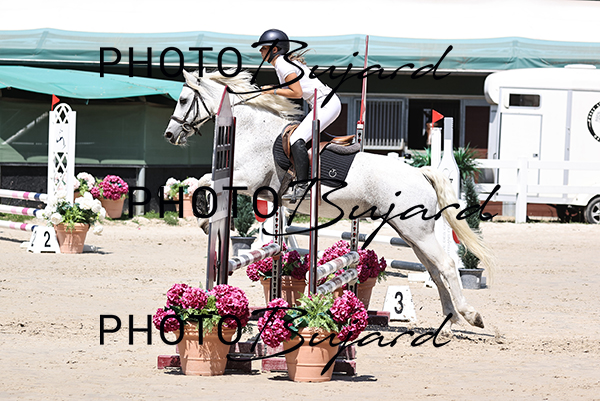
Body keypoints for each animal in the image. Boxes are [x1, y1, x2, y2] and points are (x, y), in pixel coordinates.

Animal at [164, 69, 495, 329]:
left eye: (183, 100)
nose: (169, 134)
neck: (253, 129)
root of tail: (420, 173)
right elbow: (203, 182)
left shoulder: (249, 180)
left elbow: (204, 183)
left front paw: (204, 221)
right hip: (410, 233)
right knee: (435, 270)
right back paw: (449, 320)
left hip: (417, 231)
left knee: (447, 266)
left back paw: (470, 315)